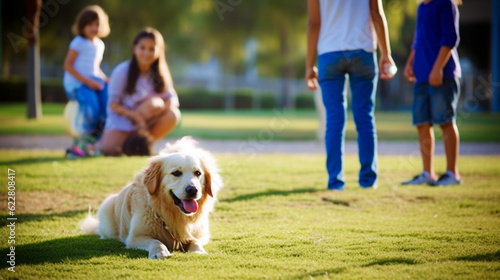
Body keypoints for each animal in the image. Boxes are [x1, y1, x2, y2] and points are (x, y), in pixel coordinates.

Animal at [81, 137, 222, 260]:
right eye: (176, 173)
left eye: (198, 173)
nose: (193, 190)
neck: (169, 214)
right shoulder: (135, 237)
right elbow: (155, 241)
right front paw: (160, 252)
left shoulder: (199, 235)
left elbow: (195, 241)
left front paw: (199, 251)